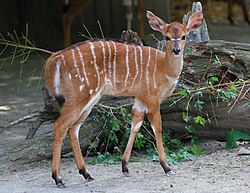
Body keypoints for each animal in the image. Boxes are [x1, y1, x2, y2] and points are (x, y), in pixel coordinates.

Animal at [45, 10, 203, 187]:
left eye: (183, 36)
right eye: (167, 37)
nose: (176, 50)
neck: (163, 68)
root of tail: (56, 58)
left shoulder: (140, 99)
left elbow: (135, 126)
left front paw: (125, 167)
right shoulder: (152, 98)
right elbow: (157, 128)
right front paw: (167, 167)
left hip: (89, 100)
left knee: (73, 129)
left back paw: (86, 173)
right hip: (79, 97)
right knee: (60, 125)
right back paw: (58, 178)